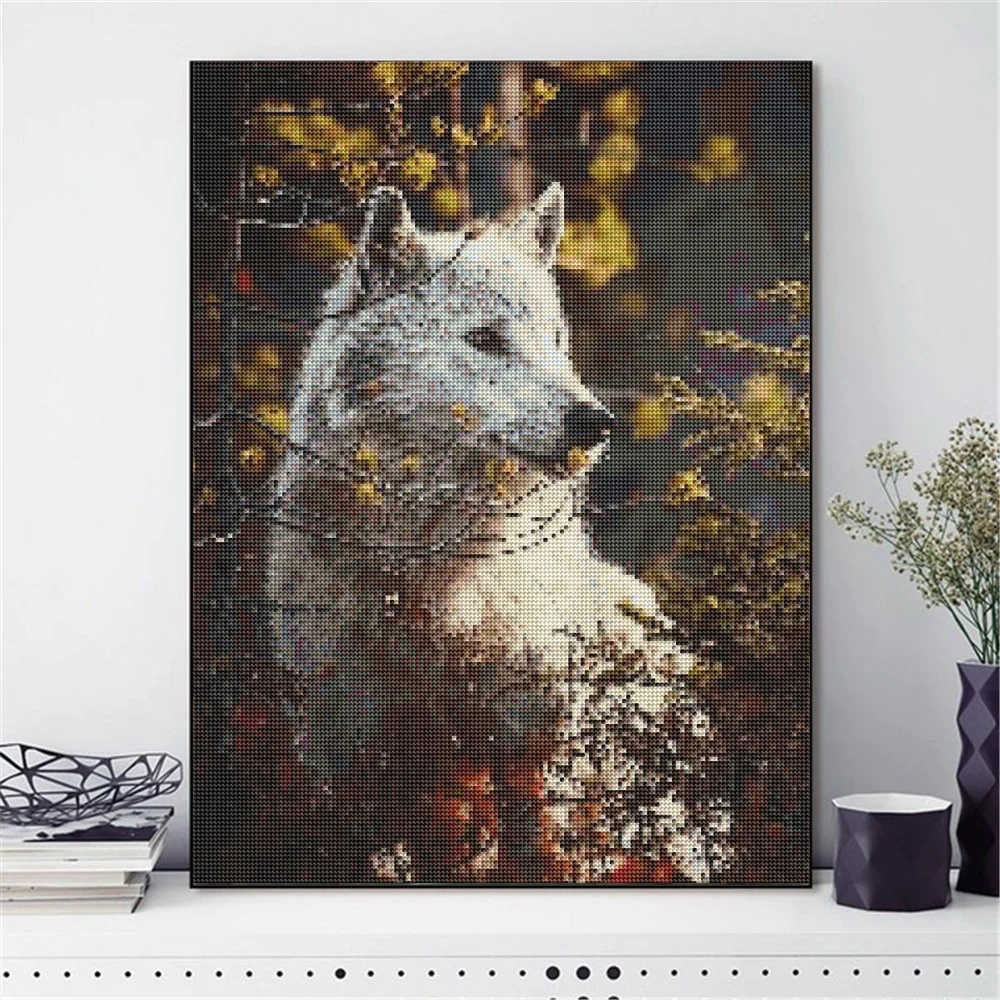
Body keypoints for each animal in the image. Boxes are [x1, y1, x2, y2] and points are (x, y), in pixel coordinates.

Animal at [266, 183, 729, 884]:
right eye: (486, 339)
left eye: (557, 341)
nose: (597, 422)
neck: (425, 573)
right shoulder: (352, 743)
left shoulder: (529, 723)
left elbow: (537, 842)